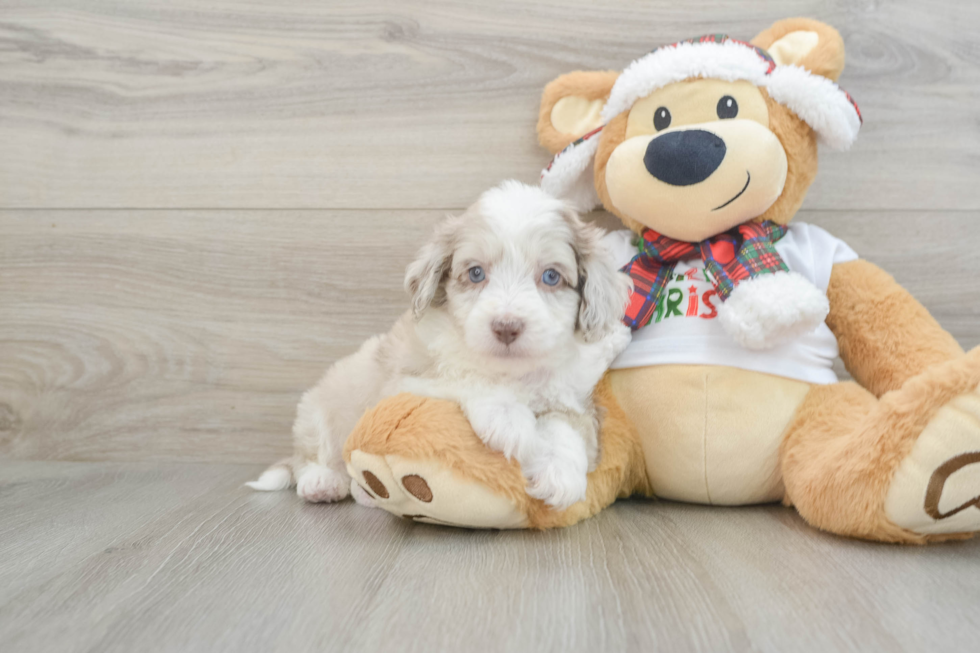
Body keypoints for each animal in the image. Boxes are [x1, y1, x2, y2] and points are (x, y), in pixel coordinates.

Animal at [245, 180, 628, 510]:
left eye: (551, 276)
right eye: (476, 273)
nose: (506, 327)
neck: (511, 372)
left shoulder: (572, 396)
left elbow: (567, 427)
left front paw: (559, 473)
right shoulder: (402, 383)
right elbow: (463, 378)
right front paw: (510, 419)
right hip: (318, 409)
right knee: (310, 456)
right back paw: (323, 481)